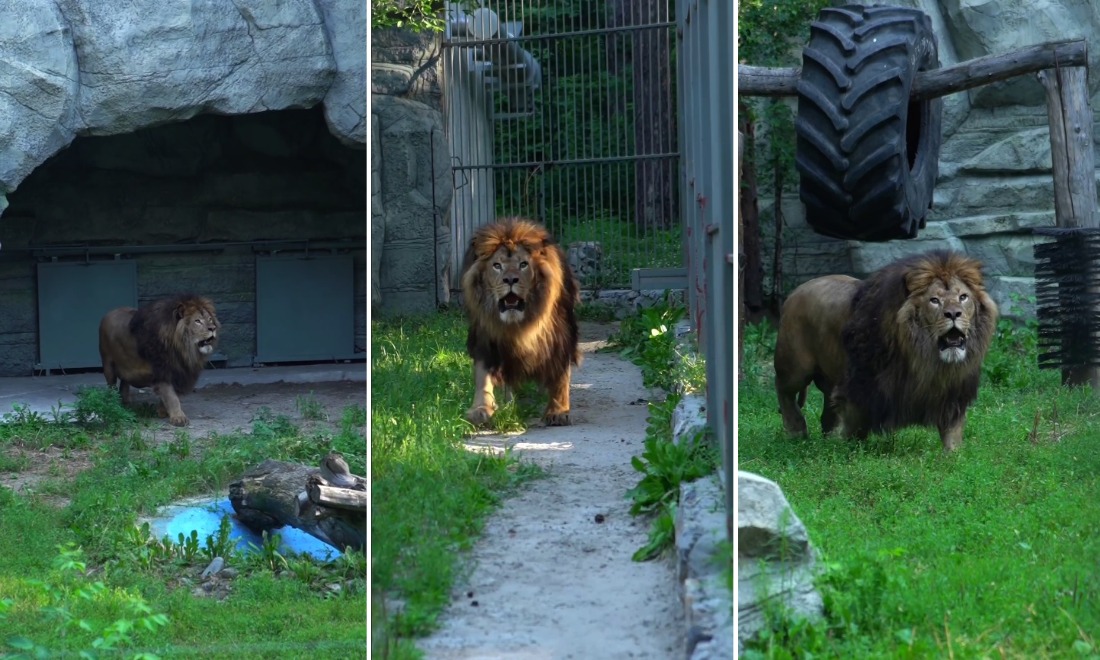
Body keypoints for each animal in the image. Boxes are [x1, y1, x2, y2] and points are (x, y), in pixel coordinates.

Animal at [97, 290, 220, 424]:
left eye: (210, 319)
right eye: (197, 321)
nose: (213, 328)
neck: (182, 349)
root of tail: (109, 312)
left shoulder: (178, 372)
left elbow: (170, 395)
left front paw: (162, 411)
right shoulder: (162, 370)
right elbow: (171, 396)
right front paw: (178, 418)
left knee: (124, 383)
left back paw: (126, 405)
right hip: (108, 364)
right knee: (111, 386)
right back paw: (113, 404)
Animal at [457, 215, 580, 422]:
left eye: (523, 264)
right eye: (497, 266)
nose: (510, 280)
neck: (517, 324)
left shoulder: (560, 336)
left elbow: (560, 376)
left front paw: (558, 411)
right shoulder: (486, 339)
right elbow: (483, 378)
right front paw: (481, 409)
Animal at [774, 249, 998, 451]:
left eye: (963, 297)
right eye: (934, 300)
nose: (953, 314)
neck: (923, 356)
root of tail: (796, 291)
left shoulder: (953, 393)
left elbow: (952, 432)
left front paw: (954, 457)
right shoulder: (859, 387)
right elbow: (855, 426)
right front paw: (848, 451)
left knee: (827, 413)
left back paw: (828, 440)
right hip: (795, 367)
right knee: (784, 392)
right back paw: (797, 433)